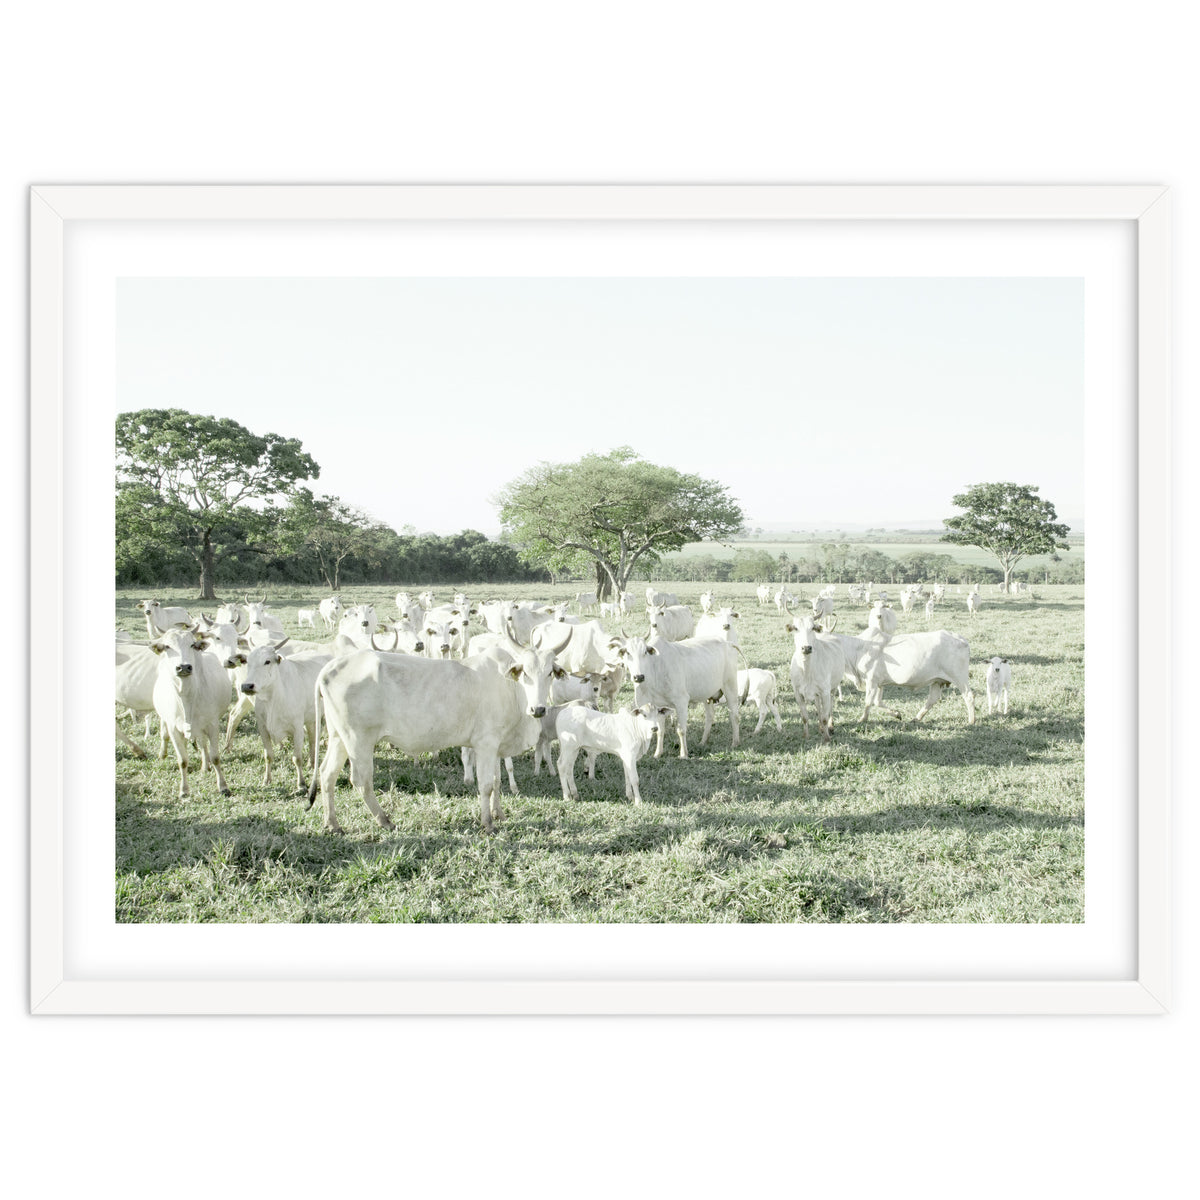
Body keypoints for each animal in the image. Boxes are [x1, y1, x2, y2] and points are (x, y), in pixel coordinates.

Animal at [149, 625, 233, 797]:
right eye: (167, 646)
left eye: (192, 645)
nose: (184, 667)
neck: (187, 698)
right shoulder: (174, 728)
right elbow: (182, 760)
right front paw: (184, 790)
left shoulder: (212, 725)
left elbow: (215, 757)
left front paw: (223, 786)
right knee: (167, 735)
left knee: (202, 744)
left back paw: (205, 765)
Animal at [239, 640, 332, 790]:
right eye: (248, 662)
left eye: (267, 661)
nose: (247, 686)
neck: (273, 699)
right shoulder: (263, 729)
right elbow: (268, 756)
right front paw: (266, 780)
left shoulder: (297, 729)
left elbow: (297, 758)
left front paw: (301, 784)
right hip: (310, 719)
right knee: (312, 739)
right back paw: (311, 763)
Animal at [307, 622, 573, 833]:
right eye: (525, 673)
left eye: (550, 673)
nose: (538, 709)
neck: (510, 688)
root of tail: (332, 667)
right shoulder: (485, 744)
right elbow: (486, 785)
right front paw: (487, 823)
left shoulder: (496, 746)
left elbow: (497, 781)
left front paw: (499, 814)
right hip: (358, 740)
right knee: (361, 780)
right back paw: (384, 820)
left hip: (338, 737)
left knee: (327, 774)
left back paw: (332, 824)